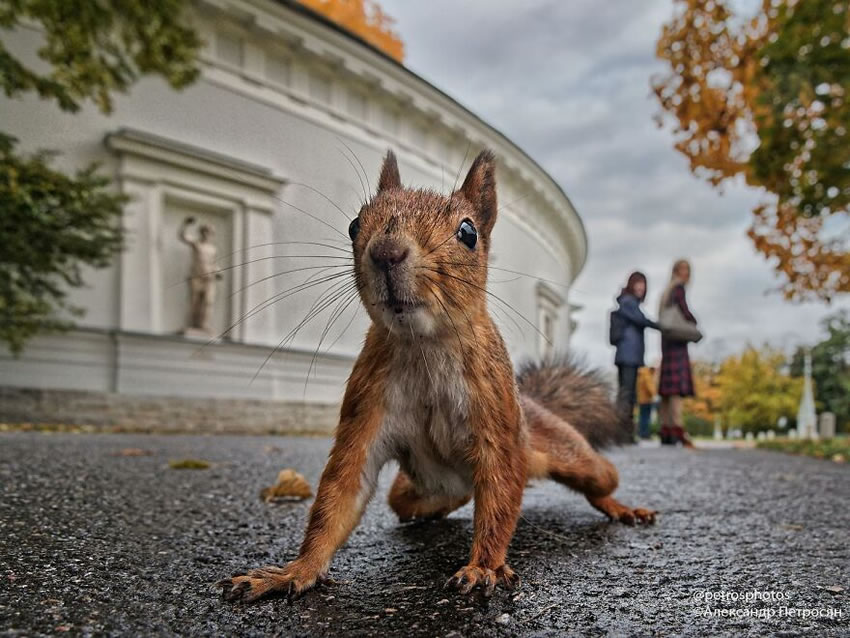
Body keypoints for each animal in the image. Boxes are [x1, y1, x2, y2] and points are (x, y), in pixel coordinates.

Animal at [215, 150, 652, 604]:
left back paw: (619, 507)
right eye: (354, 224)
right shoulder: (365, 410)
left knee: (597, 478)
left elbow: (499, 497)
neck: (424, 345)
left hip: (567, 449)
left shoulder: (496, 423)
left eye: (468, 232)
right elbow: (339, 494)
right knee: (421, 502)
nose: (386, 252)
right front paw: (294, 571)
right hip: (415, 489)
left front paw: (483, 566)